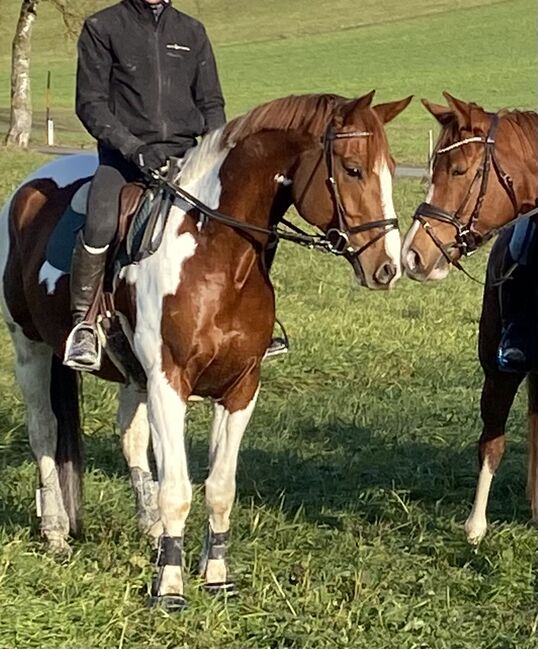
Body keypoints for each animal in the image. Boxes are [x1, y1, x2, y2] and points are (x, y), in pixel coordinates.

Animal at [1, 91, 410, 608]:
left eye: (391, 167)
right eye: (353, 169)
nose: (388, 268)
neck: (217, 256)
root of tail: (27, 190)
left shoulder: (240, 388)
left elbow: (220, 487)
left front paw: (215, 575)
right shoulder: (169, 382)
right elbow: (178, 488)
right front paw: (170, 588)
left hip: (132, 374)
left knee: (130, 437)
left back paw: (152, 530)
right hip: (30, 348)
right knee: (44, 432)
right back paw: (55, 531)